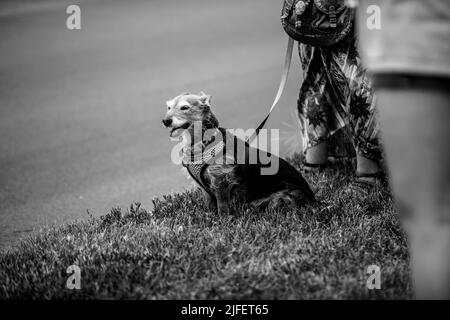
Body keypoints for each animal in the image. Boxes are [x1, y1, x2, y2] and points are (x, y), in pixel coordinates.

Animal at [163, 91, 316, 214]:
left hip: (280, 198)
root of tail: (312, 199)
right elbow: (209, 204)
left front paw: (223, 220)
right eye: (169, 108)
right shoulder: (204, 188)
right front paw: (209, 217)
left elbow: (222, 206)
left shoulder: (221, 180)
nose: (165, 121)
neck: (202, 142)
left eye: (185, 107)